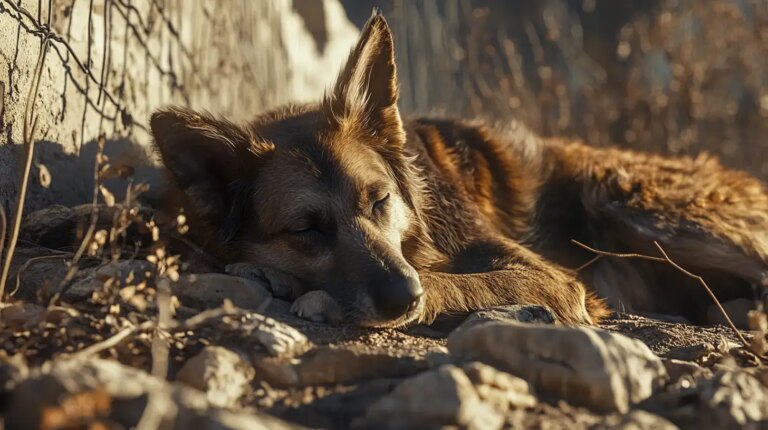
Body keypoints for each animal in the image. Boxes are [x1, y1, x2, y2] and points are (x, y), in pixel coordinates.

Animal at [150, 14, 768, 330]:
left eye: (379, 200)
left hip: (631, 202)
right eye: (305, 229)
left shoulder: (556, 281)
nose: (401, 297)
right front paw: (271, 275)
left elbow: (462, 281)